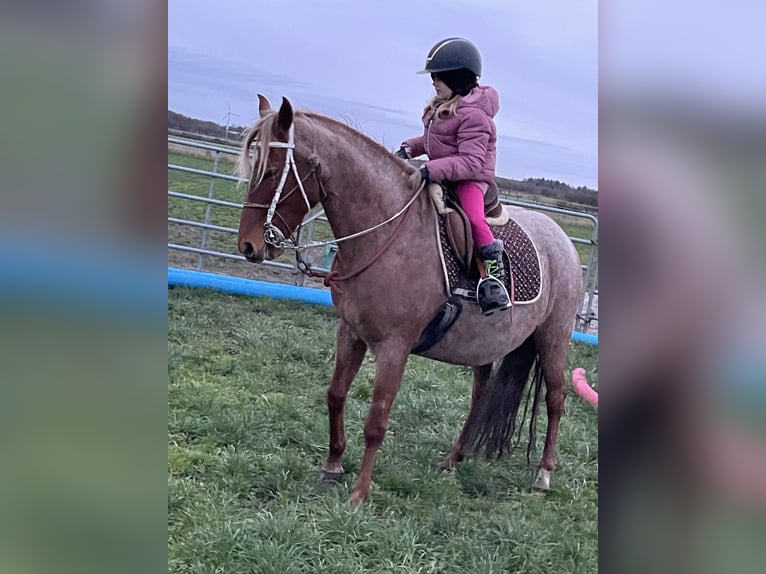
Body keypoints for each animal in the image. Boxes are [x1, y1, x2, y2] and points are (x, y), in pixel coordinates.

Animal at [234, 97, 584, 506]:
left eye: (273, 171)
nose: (249, 246)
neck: (384, 232)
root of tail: (562, 240)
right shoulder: (350, 331)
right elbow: (336, 395)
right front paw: (333, 466)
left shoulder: (394, 346)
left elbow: (376, 419)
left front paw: (359, 493)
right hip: (485, 344)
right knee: (481, 392)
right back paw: (453, 457)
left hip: (553, 338)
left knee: (556, 398)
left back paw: (543, 474)